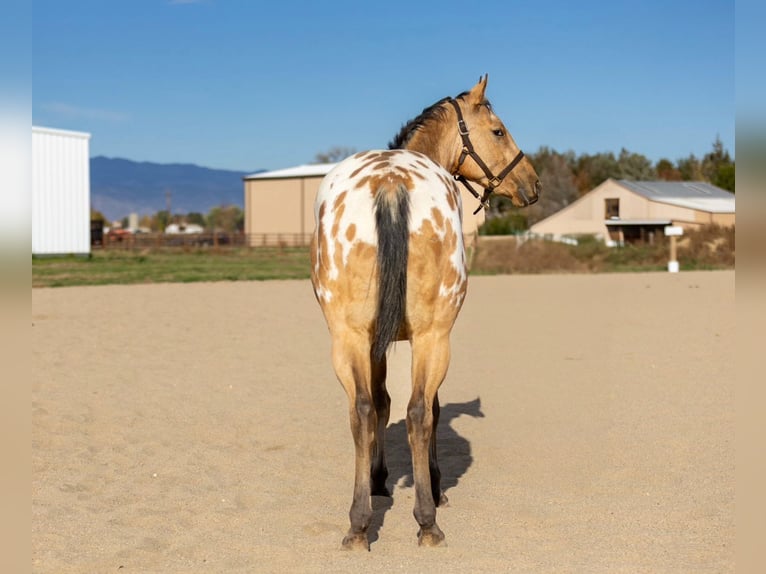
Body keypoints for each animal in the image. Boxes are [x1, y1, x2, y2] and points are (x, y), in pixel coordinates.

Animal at [310, 76, 541, 549]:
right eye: (498, 131)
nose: (532, 182)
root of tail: (390, 181)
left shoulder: (375, 341)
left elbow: (380, 403)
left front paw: (378, 480)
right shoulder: (429, 336)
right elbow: (426, 408)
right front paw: (431, 486)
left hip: (348, 337)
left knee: (361, 410)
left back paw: (358, 524)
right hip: (434, 336)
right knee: (419, 412)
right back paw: (427, 520)